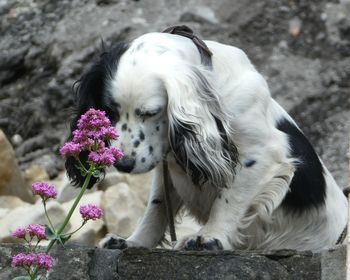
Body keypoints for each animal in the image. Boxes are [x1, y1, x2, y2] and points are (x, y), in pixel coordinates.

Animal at [65, 26, 348, 253]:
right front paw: (134, 242)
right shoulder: (166, 168)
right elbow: (157, 207)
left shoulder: (262, 155)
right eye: (109, 111)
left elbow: (229, 200)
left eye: (150, 112)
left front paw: (210, 237)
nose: (123, 164)